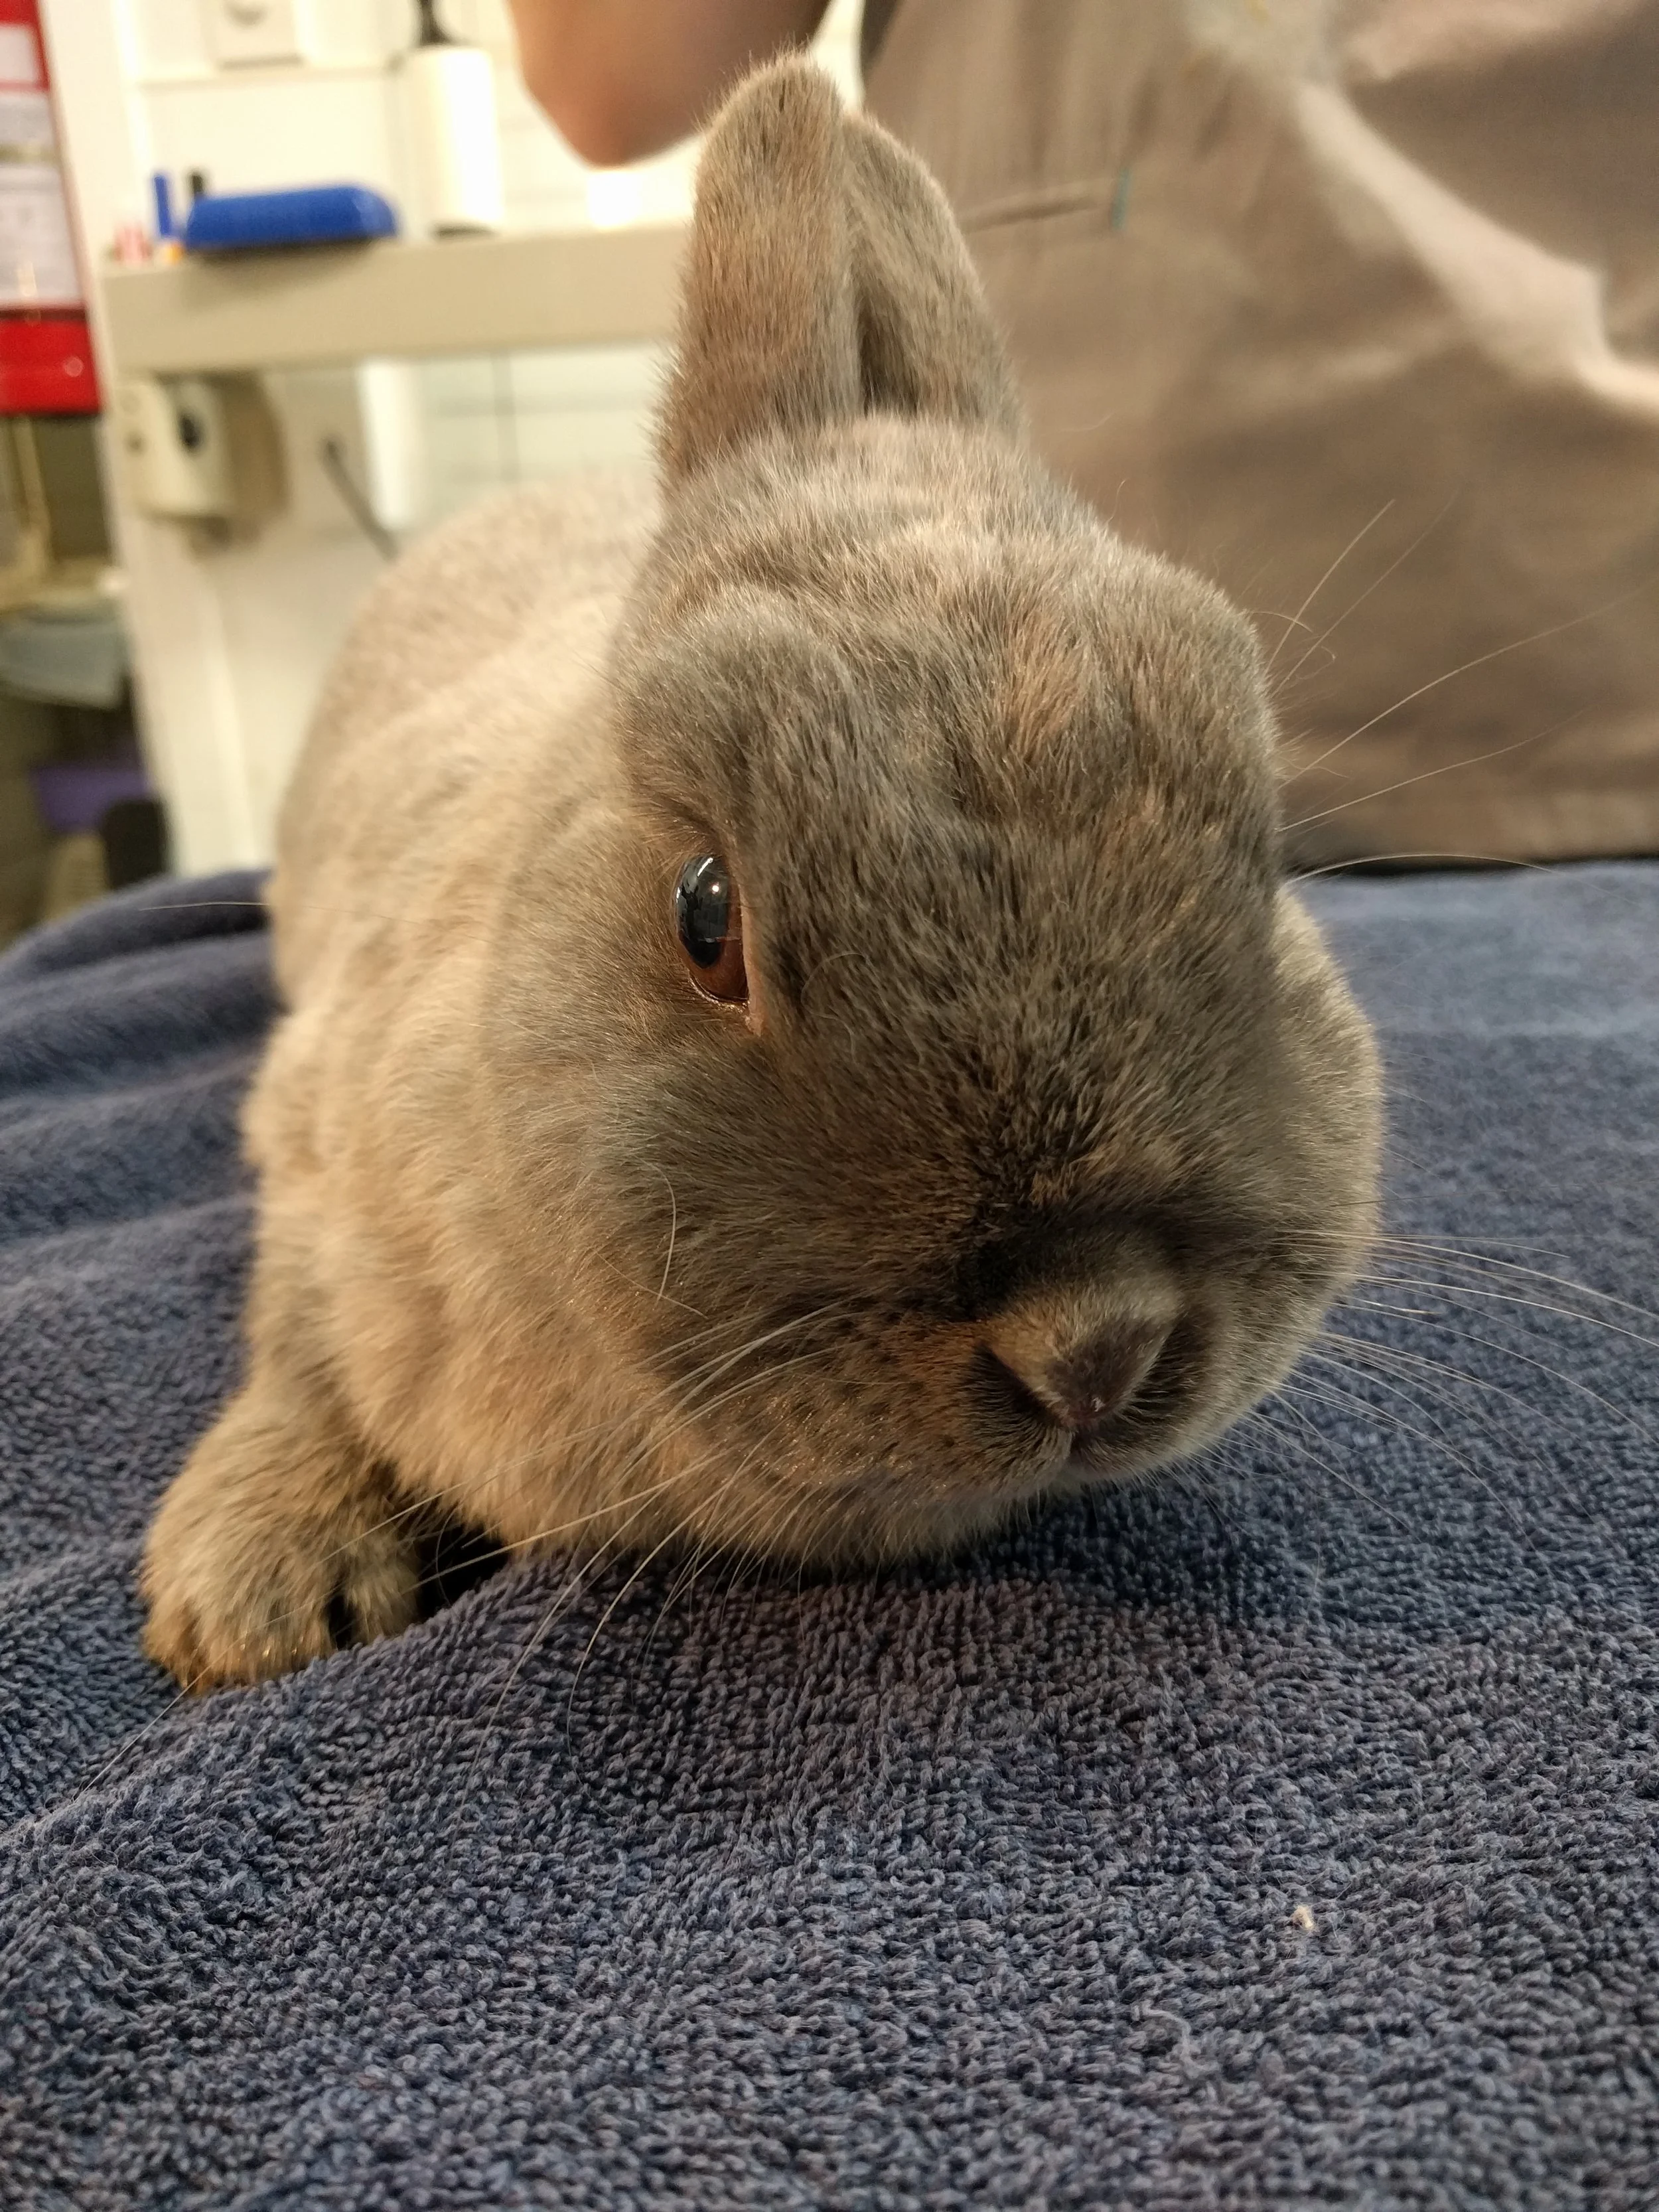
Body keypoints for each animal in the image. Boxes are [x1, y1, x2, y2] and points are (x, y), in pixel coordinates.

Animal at [141, 59, 1381, 1690]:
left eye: (1270, 861)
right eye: (705, 911)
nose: (1092, 1347)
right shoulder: (308, 1145)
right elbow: (293, 1346)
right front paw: (256, 1599)